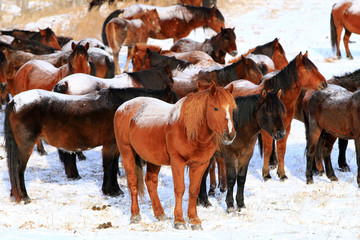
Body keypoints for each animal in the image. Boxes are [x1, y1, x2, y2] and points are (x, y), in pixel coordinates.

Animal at [4, 86, 179, 202]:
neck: (120, 109)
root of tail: (14, 102)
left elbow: (112, 167)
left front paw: (113, 190)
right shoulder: (110, 146)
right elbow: (110, 167)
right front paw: (112, 191)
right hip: (26, 145)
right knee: (19, 169)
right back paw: (24, 196)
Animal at [112, 82, 236, 229]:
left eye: (232, 109)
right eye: (216, 108)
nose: (230, 135)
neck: (189, 130)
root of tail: (122, 108)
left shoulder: (200, 164)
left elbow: (193, 190)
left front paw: (194, 220)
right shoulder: (177, 162)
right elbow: (179, 189)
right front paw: (179, 221)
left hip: (154, 159)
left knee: (151, 182)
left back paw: (160, 214)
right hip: (127, 153)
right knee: (133, 182)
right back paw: (135, 215)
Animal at [228, 52, 330, 180]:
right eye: (307, 68)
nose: (324, 83)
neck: (279, 100)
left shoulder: (285, 128)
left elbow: (281, 150)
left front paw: (282, 174)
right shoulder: (267, 130)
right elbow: (268, 150)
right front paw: (266, 174)